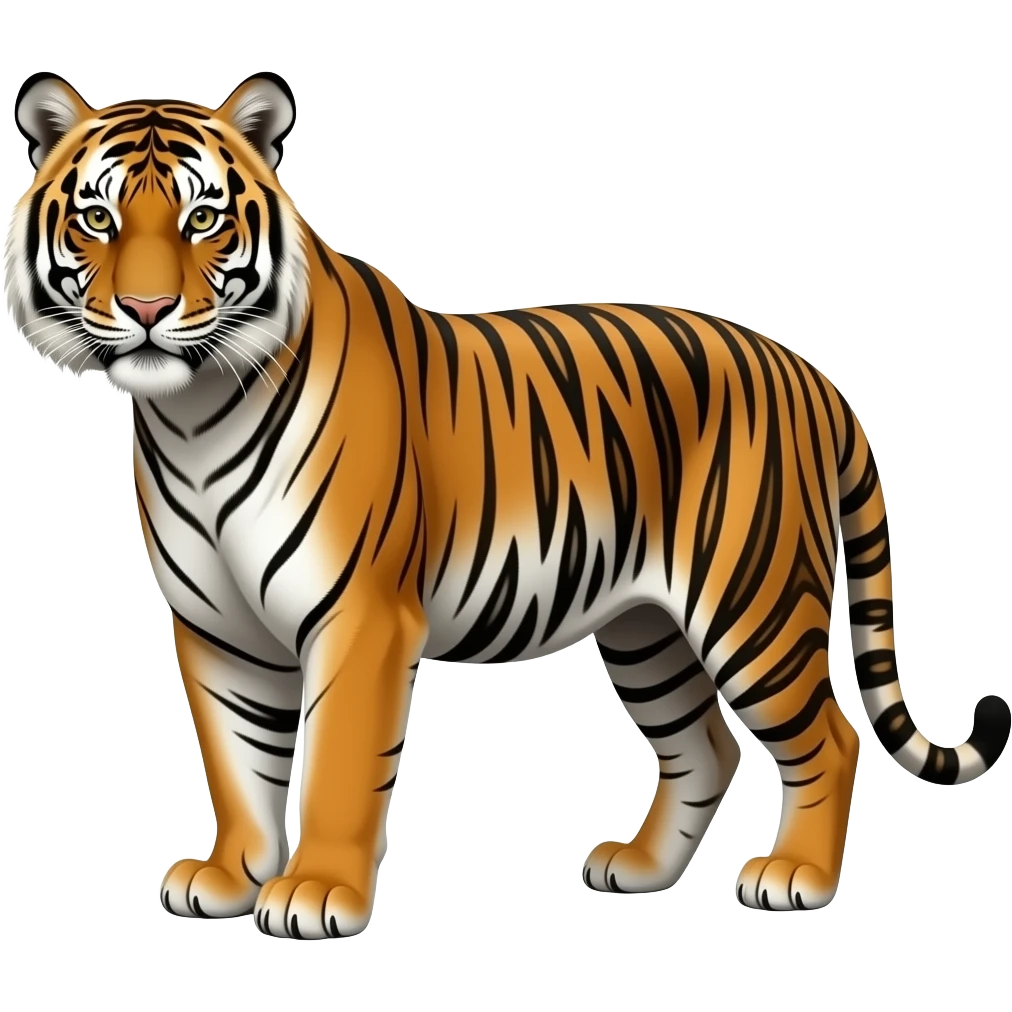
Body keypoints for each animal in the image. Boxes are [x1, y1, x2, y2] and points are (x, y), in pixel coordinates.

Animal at [4, 69, 1009, 940]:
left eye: (203, 218)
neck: (193, 415)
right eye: (96, 218)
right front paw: (230, 876)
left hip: (751, 605)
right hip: (647, 629)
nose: (145, 308)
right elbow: (236, 761)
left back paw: (795, 877)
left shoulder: (360, 616)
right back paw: (638, 869)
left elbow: (334, 764)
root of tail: (811, 375)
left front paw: (317, 894)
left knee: (830, 739)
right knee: (706, 748)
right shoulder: (216, 628)